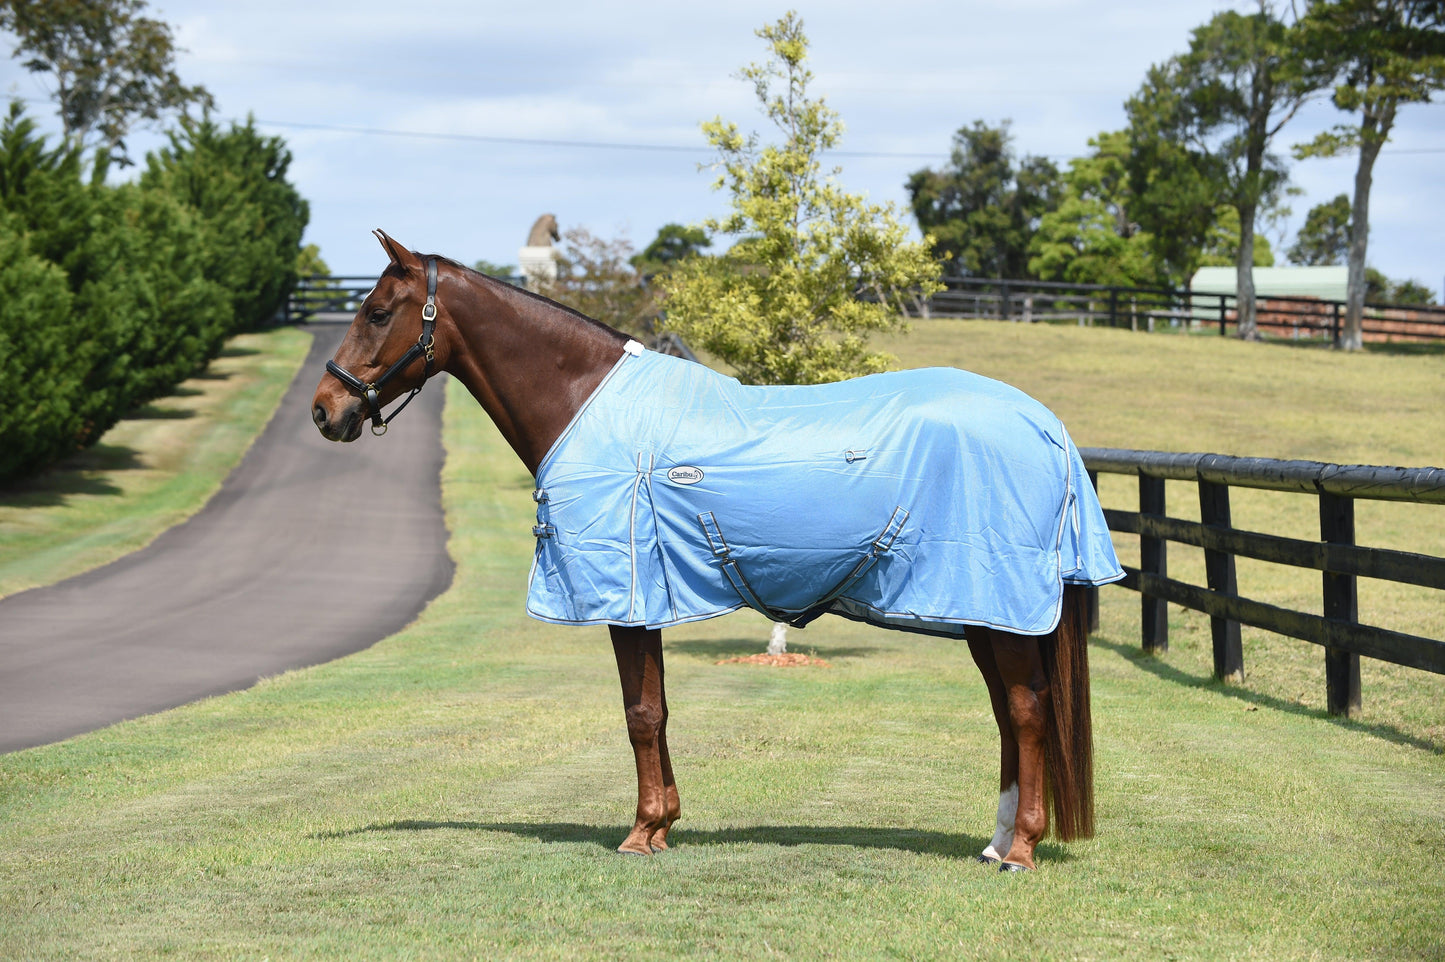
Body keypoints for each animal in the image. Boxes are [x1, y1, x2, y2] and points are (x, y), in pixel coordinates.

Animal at [311, 230, 1124, 871]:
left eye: (377, 311)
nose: (325, 409)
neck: (587, 403)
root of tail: (1045, 427)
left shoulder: (627, 594)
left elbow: (639, 712)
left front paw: (640, 833)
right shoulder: (646, 600)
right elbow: (658, 709)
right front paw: (662, 824)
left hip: (999, 607)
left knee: (1025, 711)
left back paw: (1019, 850)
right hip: (986, 614)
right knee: (1009, 713)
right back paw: (994, 842)